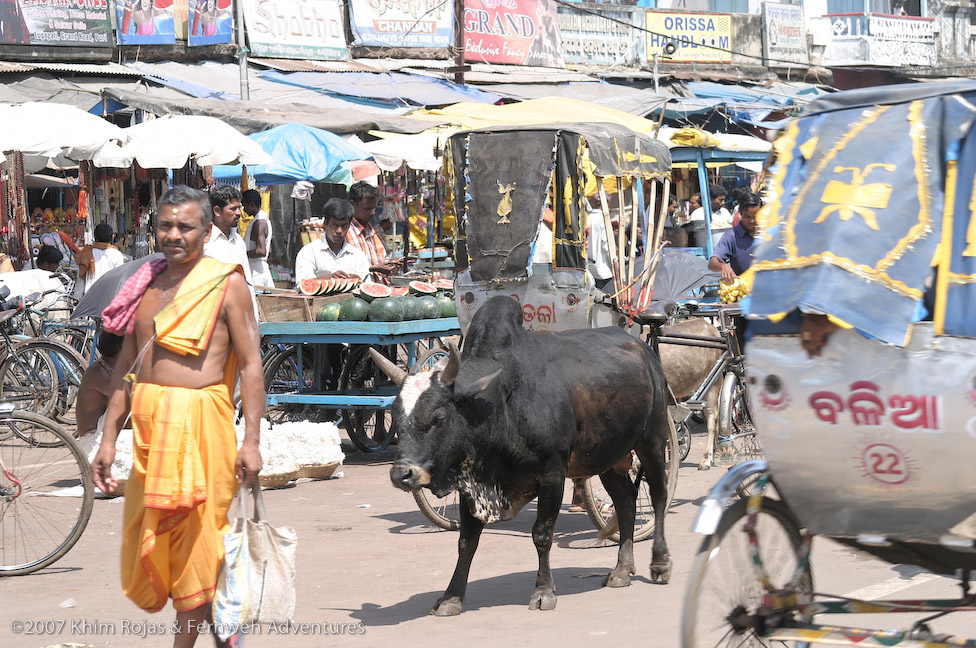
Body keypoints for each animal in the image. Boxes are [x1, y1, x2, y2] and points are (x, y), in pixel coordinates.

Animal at [370, 296, 676, 616]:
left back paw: (660, 562)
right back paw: (622, 569)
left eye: (438, 418)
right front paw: (451, 596)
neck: (499, 405)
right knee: (626, 502)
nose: (402, 474)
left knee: (658, 495)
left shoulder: (552, 474)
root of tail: (644, 350)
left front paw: (543, 591)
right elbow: (467, 540)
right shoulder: (471, 481)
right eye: (395, 415)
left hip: (652, 441)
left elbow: (542, 534)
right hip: (609, 457)